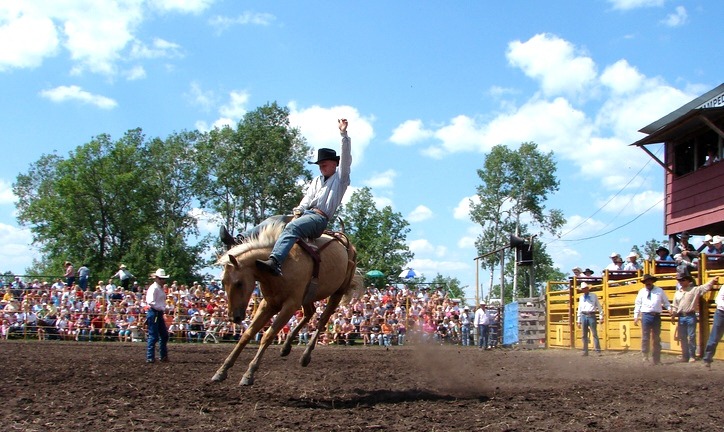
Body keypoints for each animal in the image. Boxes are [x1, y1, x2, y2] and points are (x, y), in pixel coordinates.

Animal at [212, 219, 364, 384]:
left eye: (238, 283)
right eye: (222, 282)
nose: (234, 317)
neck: (278, 267)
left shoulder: (290, 305)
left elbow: (268, 336)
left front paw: (249, 373)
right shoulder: (269, 304)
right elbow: (247, 334)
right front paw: (222, 370)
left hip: (338, 292)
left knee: (322, 320)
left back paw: (305, 356)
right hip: (308, 295)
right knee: (310, 313)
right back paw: (285, 347)